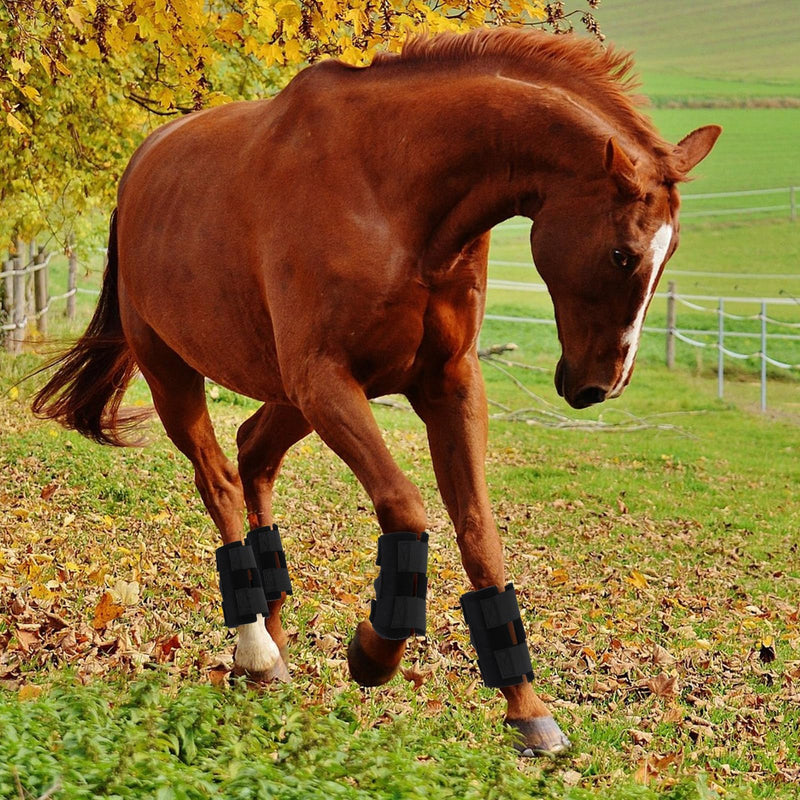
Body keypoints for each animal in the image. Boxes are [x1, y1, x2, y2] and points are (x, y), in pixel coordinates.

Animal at [32, 27, 720, 757]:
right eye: (624, 254)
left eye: (669, 256)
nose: (600, 386)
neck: (393, 193)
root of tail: (141, 166)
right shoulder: (328, 381)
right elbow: (406, 509)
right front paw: (373, 651)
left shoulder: (447, 386)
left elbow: (480, 536)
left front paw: (526, 707)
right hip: (176, 375)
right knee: (219, 480)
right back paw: (255, 649)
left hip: (288, 398)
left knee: (253, 454)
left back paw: (274, 636)